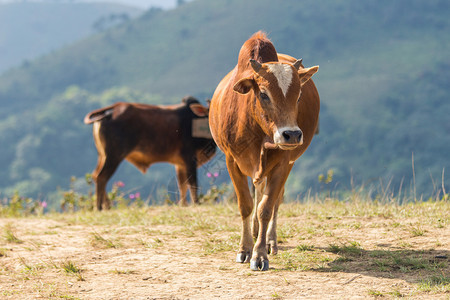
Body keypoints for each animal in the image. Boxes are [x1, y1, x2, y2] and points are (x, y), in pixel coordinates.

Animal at [86, 97, 218, 210]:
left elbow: (182, 185)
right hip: (114, 155)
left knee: (95, 175)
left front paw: (183, 204)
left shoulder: (180, 164)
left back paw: (107, 206)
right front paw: (196, 203)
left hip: (103, 155)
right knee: (101, 177)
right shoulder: (190, 159)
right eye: (208, 114)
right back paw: (99, 207)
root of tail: (112, 110)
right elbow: (192, 184)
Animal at [208, 31, 320, 270]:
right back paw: (254, 231)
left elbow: (266, 207)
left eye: (298, 95)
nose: (292, 135)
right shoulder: (232, 161)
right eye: (264, 94)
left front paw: (259, 254)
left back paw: (269, 240)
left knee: (274, 201)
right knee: (258, 190)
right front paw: (244, 249)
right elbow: (246, 205)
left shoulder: (283, 162)